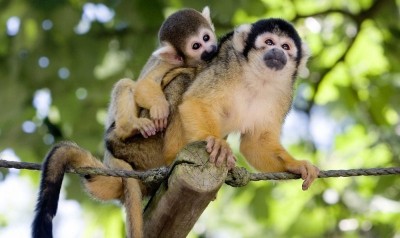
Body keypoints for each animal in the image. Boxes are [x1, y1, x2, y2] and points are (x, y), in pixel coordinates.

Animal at [110, 6, 219, 139]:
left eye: (206, 38)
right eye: (196, 46)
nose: (210, 49)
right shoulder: (169, 62)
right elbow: (145, 82)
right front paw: (159, 107)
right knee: (124, 83)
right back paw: (128, 126)